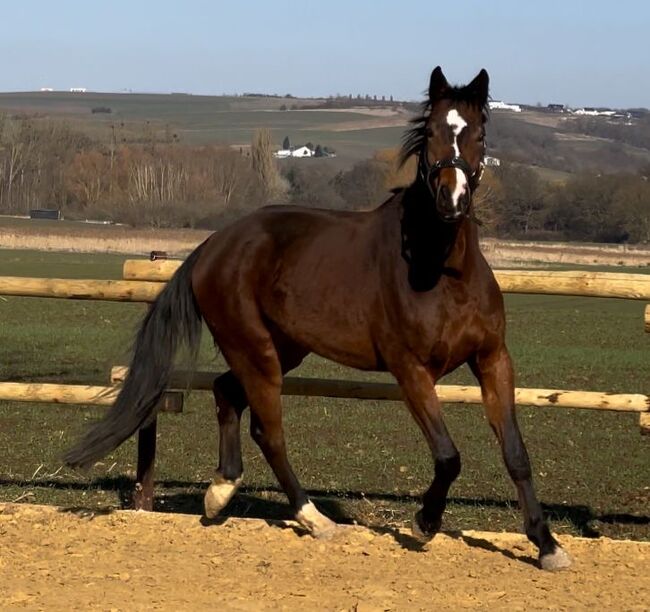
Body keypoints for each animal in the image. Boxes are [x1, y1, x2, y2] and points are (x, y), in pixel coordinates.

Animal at [66, 69, 568, 572]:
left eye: (480, 135)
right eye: (430, 133)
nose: (452, 199)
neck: (444, 272)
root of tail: (214, 245)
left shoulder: (492, 359)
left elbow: (516, 453)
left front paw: (547, 545)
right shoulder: (410, 369)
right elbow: (448, 456)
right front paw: (424, 524)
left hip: (282, 348)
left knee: (227, 393)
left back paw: (220, 492)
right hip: (255, 351)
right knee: (268, 431)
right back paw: (314, 519)